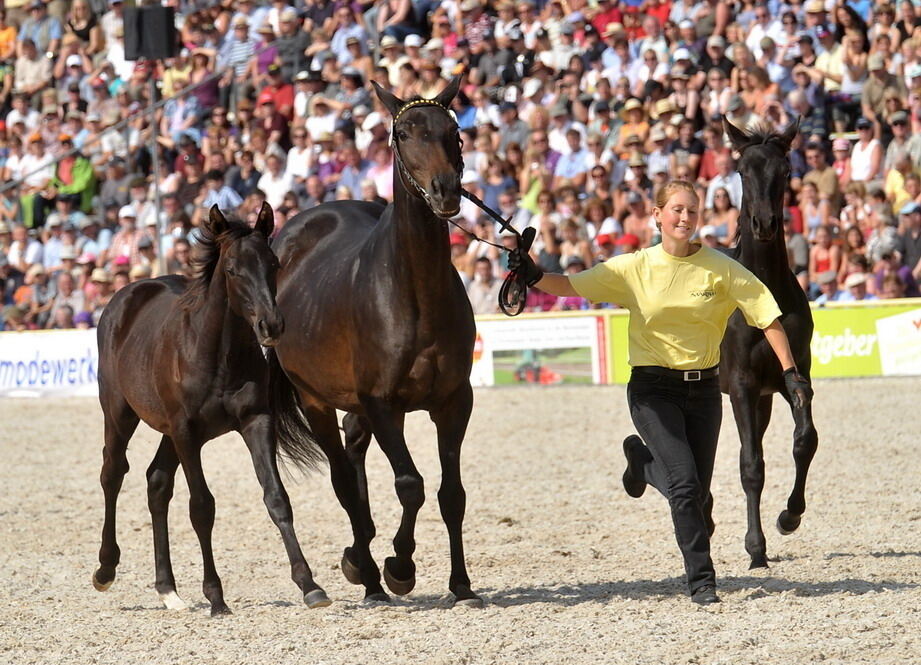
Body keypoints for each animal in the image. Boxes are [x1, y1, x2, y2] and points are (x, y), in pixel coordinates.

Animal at [92, 204, 330, 616]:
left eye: (273, 263)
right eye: (232, 269)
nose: (271, 325)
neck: (216, 351)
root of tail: (126, 295)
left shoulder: (255, 422)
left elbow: (276, 497)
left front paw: (310, 586)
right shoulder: (187, 432)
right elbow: (202, 507)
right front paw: (215, 596)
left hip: (169, 432)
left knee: (157, 482)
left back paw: (168, 590)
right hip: (121, 414)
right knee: (113, 472)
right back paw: (106, 569)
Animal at [264, 79, 482, 608]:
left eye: (454, 131)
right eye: (403, 133)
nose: (446, 190)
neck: (414, 289)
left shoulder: (453, 401)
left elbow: (451, 494)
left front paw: (461, 584)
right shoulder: (383, 402)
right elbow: (410, 485)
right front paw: (399, 566)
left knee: (355, 456)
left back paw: (364, 567)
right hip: (316, 399)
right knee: (344, 478)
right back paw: (362, 566)